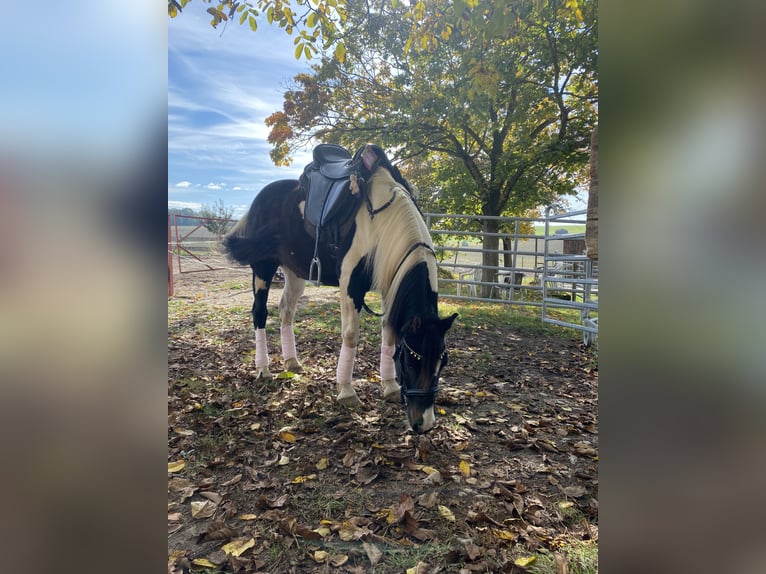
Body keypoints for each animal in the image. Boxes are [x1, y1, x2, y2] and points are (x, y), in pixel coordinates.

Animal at [222, 144, 457, 433]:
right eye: (412, 359)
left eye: (442, 361)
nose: (424, 423)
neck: (380, 222)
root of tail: (260, 199)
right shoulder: (350, 285)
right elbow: (351, 336)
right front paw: (346, 392)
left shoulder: (389, 285)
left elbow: (389, 333)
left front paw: (389, 386)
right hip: (263, 267)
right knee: (259, 313)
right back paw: (263, 369)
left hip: (295, 272)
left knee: (286, 310)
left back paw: (291, 362)